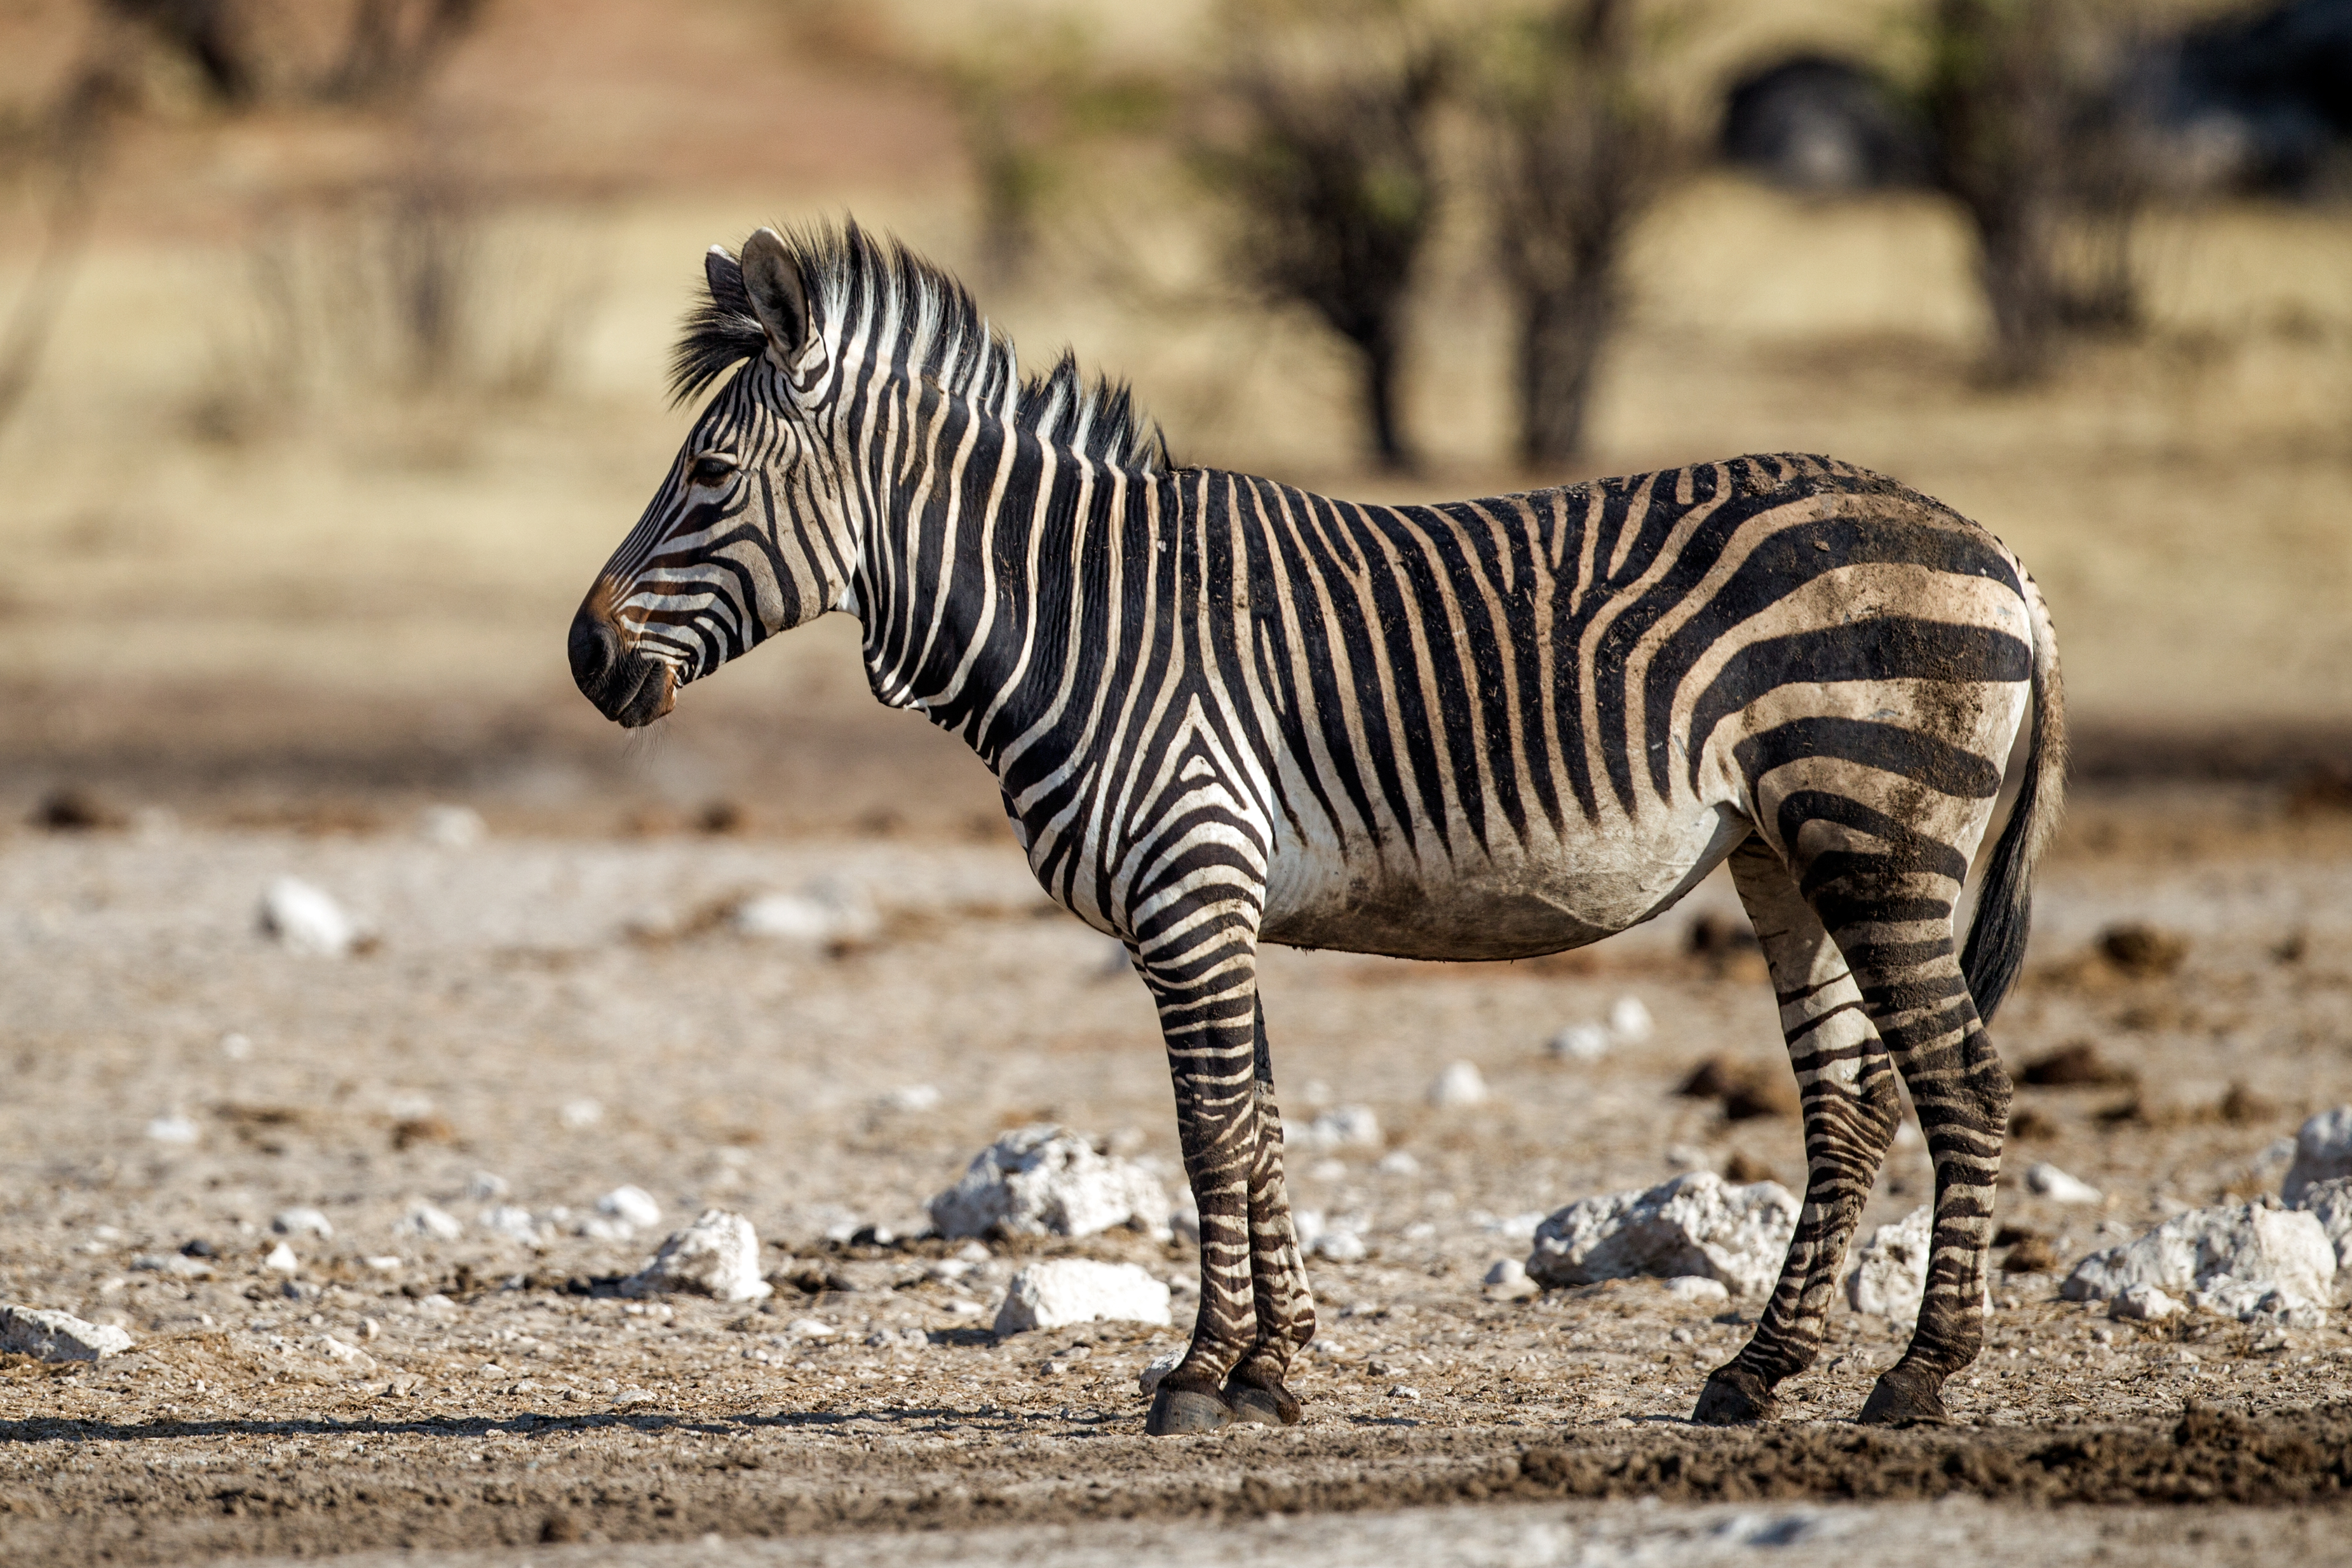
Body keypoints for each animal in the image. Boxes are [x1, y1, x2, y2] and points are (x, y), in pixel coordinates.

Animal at [564, 220, 2060, 1438]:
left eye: (708, 473)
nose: (585, 659)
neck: (1082, 616)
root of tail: (1994, 548)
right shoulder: (1213, 908)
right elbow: (1260, 1122)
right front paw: (1270, 1369)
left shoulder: (1187, 891)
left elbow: (1211, 1129)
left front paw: (1198, 1374)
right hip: (1783, 856)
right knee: (1848, 1107)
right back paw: (1757, 1373)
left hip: (1877, 837)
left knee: (1964, 1083)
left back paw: (1918, 1376)